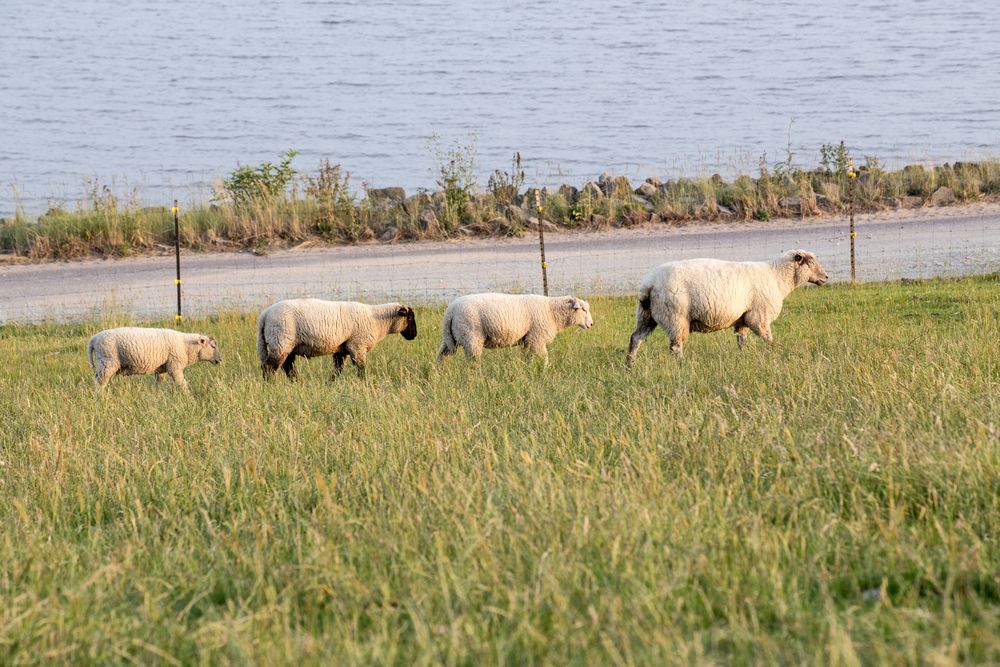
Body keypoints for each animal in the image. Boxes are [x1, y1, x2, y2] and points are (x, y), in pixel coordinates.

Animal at [88, 326, 223, 388]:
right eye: (213, 346)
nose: (220, 360)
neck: (186, 347)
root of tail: (93, 339)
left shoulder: (161, 368)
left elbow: (159, 382)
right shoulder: (175, 366)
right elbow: (181, 383)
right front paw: (187, 396)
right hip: (108, 362)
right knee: (99, 383)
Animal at [260, 298, 416, 380]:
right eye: (409, 318)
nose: (414, 335)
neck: (378, 321)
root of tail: (265, 314)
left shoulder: (342, 348)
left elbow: (337, 368)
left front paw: (331, 383)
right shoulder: (357, 346)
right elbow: (361, 368)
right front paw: (363, 382)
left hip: (288, 344)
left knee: (287, 366)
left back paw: (295, 382)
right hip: (280, 341)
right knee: (269, 366)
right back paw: (270, 385)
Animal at [438, 292, 592, 366]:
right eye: (583, 310)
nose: (591, 324)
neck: (552, 311)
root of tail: (450, 311)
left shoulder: (528, 340)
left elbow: (528, 357)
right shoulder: (536, 338)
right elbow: (544, 357)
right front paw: (545, 369)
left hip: (450, 338)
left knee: (442, 356)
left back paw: (441, 372)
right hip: (471, 336)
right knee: (472, 362)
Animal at [624, 249, 828, 366]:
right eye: (810, 262)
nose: (826, 278)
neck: (777, 276)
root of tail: (649, 284)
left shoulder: (744, 318)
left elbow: (741, 340)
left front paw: (742, 356)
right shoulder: (758, 317)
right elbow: (768, 338)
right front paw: (777, 352)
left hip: (646, 315)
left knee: (636, 338)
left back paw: (629, 365)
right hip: (675, 316)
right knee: (675, 346)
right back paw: (682, 364)